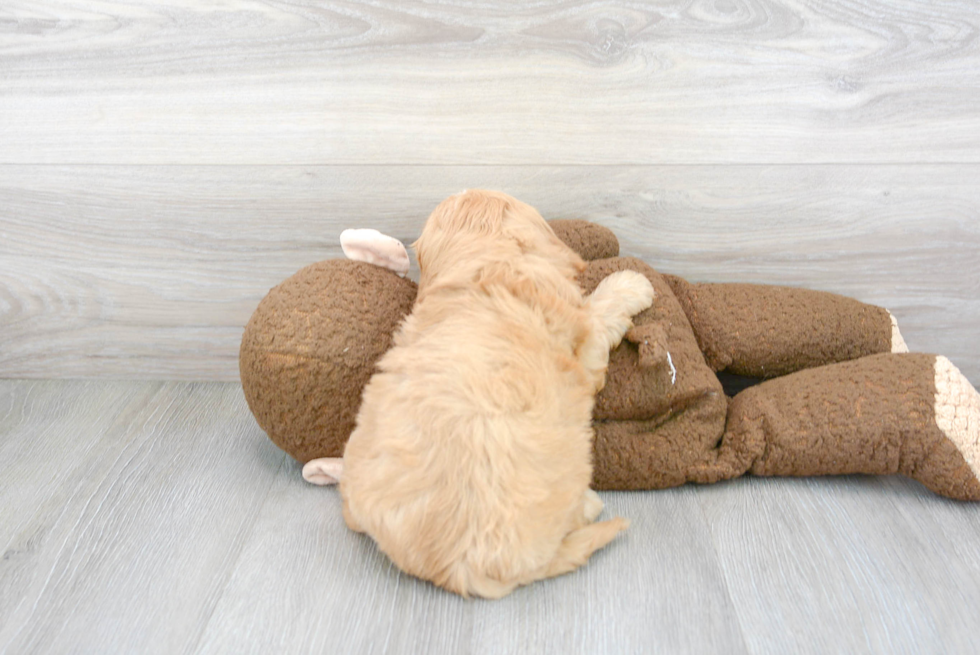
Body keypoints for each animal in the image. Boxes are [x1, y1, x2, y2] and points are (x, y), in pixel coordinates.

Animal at [340, 190, 656, 600]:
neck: (483, 271)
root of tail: (459, 569)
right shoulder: (583, 339)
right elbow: (601, 311)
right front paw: (632, 283)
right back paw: (589, 504)